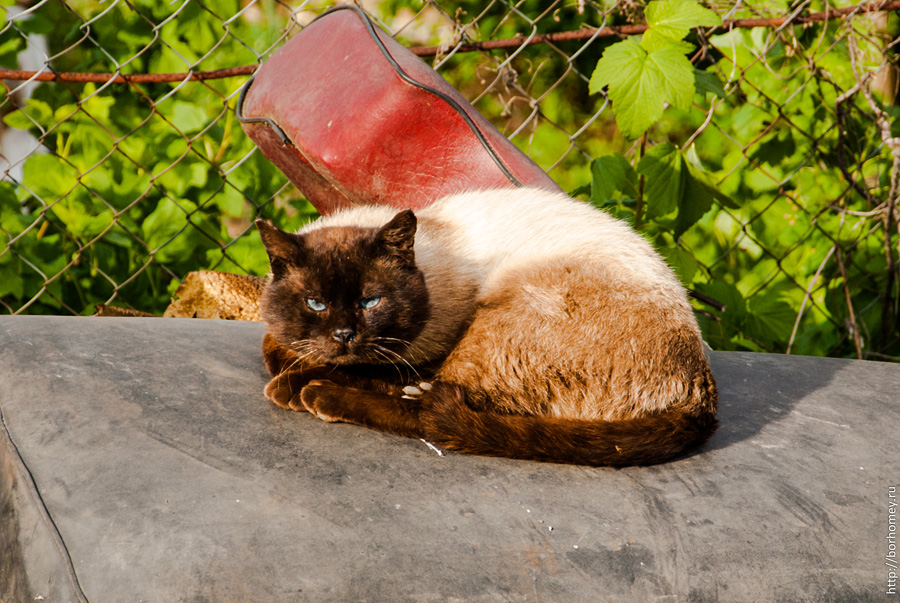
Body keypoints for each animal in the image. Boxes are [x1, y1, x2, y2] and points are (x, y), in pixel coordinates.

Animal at [255, 189, 716, 468]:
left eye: (371, 302)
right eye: (316, 304)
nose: (344, 335)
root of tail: (700, 388)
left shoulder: (427, 351)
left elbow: (363, 370)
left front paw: (295, 382)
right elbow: (274, 343)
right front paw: (294, 361)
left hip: (502, 315)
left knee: (431, 412)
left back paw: (317, 395)